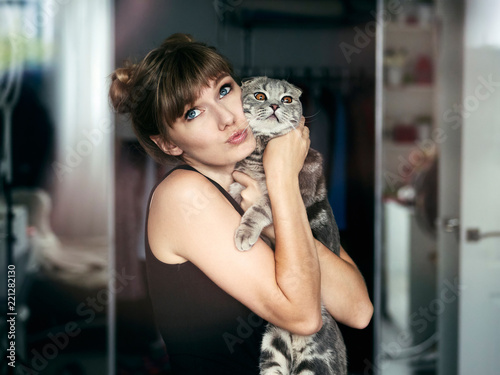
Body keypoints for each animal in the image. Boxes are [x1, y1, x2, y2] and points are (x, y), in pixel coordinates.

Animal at [229, 77, 346, 375]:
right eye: (260, 95)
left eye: (287, 99)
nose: (274, 105)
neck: (261, 147)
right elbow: (234, 190)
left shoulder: (292, 190)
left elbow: (259, 208)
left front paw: (245, 233)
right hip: (273, 343)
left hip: (316, 360)